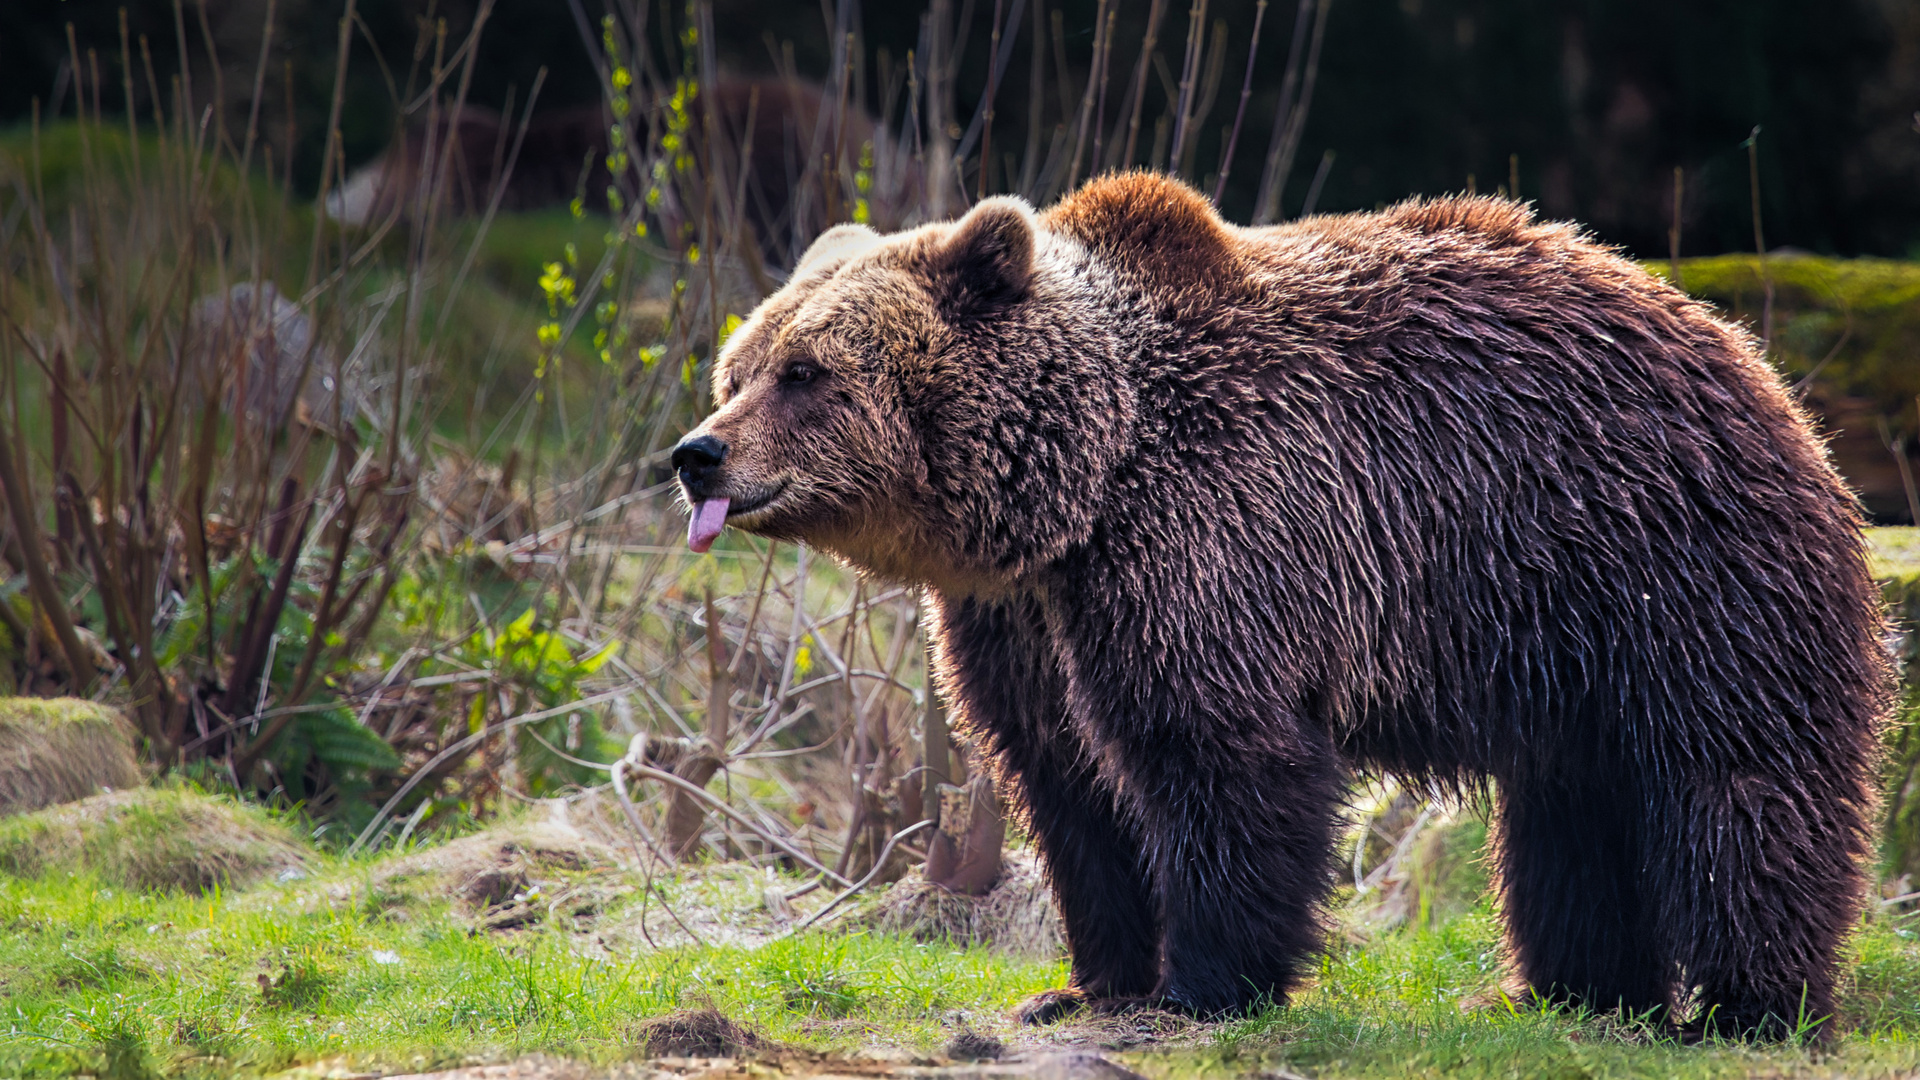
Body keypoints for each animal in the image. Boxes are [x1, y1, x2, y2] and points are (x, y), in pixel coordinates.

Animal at [672, 171, 1889, 1037]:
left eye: (807, 372)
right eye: (739, 366)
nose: (697, 454)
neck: (1079, 488)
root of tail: (1753, 361)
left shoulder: (1215, 543)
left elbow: (1220, 759)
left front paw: (1203, 985)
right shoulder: (1021, 622)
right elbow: (1068, 784)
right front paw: (1084, 981)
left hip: (1676, 570)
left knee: (1735, 785)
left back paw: (1747, 1007)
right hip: (1566, 638)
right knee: (1570, 815)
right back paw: (1572, 991)